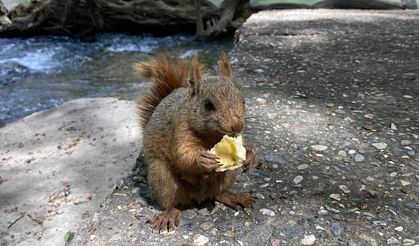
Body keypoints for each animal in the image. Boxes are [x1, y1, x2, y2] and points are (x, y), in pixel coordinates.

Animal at [136, 52, 258, 232]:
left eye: (243, 100)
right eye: (208, 104)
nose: (238, 126)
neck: (212, 136)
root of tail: (198, 196)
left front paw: (250, 152)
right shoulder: (178, 129)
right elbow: (182, 154)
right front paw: (202, 159)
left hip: (228, 176)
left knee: (218, 193)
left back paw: (233, 196)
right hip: (161, 176)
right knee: (170, 201)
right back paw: (169, 214)